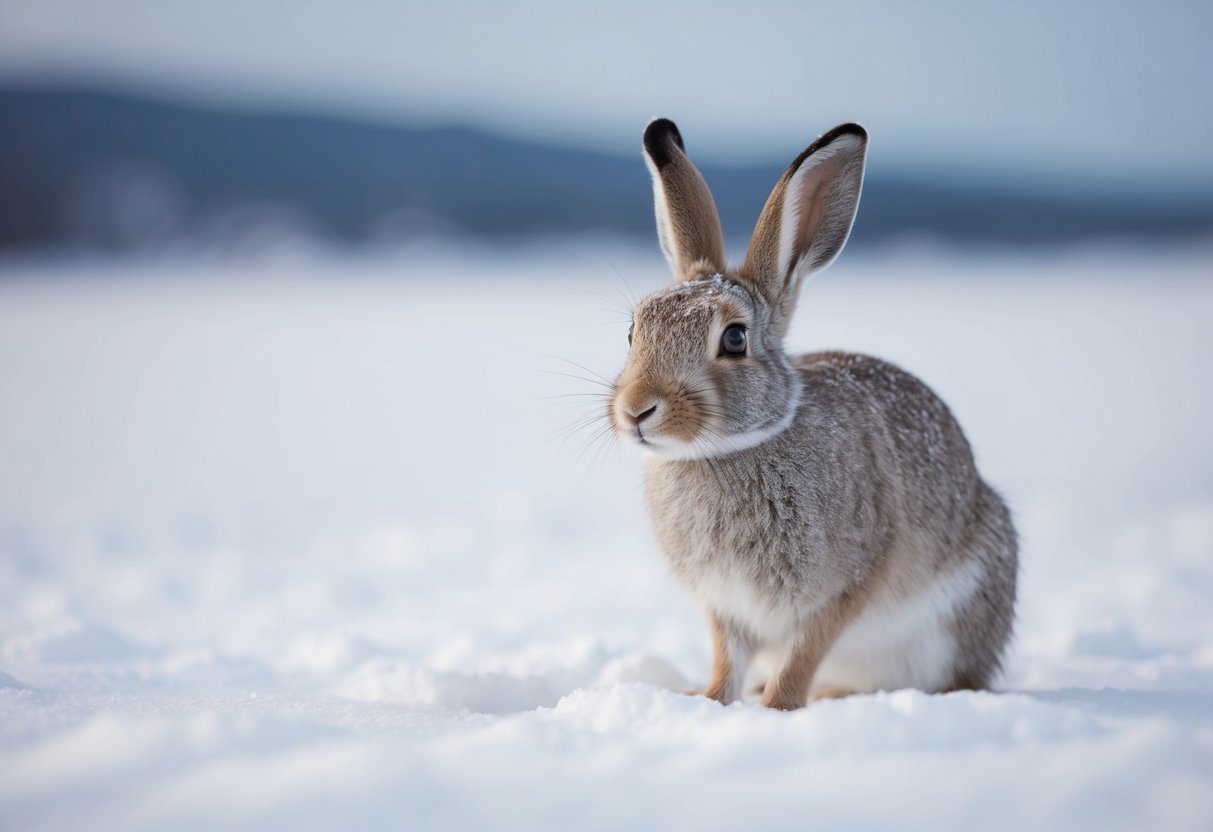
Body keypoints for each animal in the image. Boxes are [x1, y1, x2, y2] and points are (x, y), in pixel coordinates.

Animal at [607, 118, 1017, 709]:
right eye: (634, 330)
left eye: (735, 339)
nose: (636, 410)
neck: (727, 451)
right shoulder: (725, 606)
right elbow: (726, 658)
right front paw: (708, 701)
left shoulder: (844, 586)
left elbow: (804, 654)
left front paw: (777, 708)